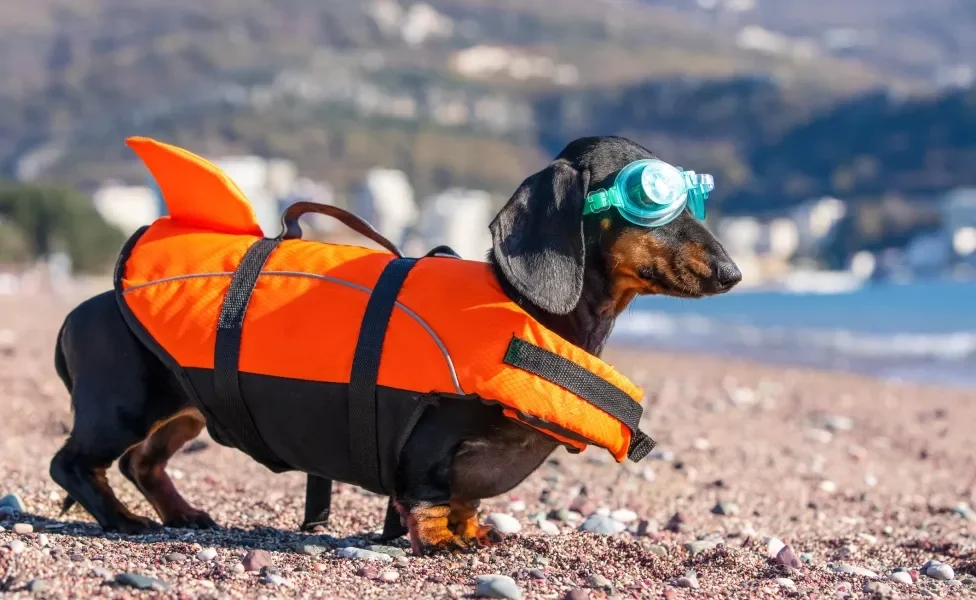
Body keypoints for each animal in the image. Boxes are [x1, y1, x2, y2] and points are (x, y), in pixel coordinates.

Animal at [49, 135, 740, 552]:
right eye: (649, 199)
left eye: (695, 199)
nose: (733, 274)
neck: (529, 309)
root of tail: (84, 309)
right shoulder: (429, 439)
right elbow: (429, 496)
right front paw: (440, 540)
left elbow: (466, 499)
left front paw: (473, 531)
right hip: (122, 407)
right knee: (74, 464)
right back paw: (121, 520)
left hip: (185, 408)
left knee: (143, 463)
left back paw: (181, 514)